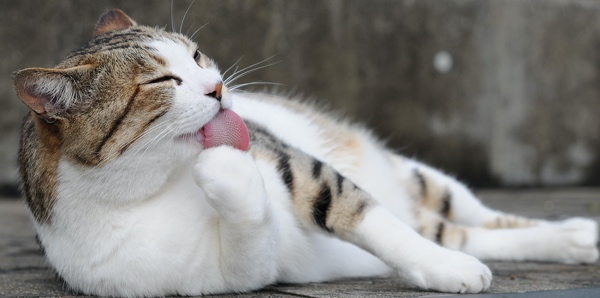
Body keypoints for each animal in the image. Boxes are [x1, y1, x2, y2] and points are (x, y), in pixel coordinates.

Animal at [11, 8, 596, 296]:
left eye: (197, 56)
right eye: (161, 81)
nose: (218, 88)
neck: (158, 186)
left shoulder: (296, 164)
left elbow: (365, 215)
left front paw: (443, 269)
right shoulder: (226, 273)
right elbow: (249, 241)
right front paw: (224, 170)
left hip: (421, 178)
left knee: (472, 216)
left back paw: (570, 234)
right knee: (461, 232)